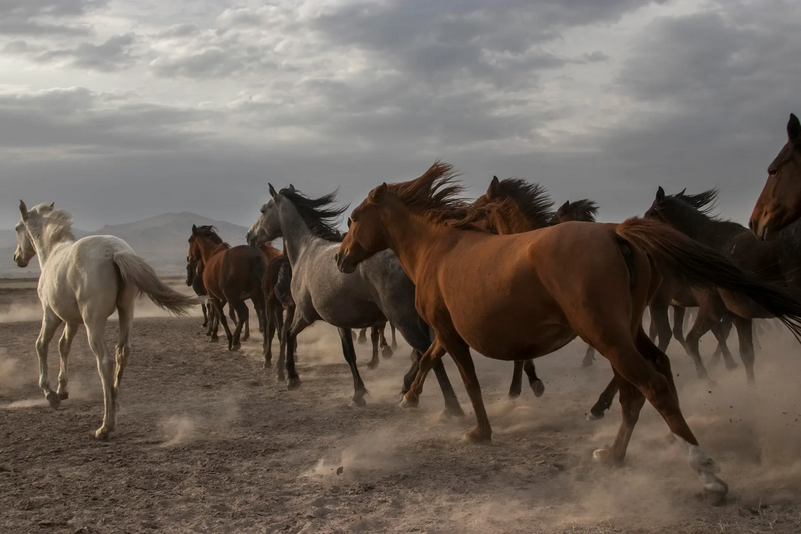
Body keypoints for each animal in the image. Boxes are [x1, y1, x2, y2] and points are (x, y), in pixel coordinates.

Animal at [13, 201, 197, 439]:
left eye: (17, 228)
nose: (17, 258)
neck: (53, 252)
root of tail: (115, 252)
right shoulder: (71, 320)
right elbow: (64, 346)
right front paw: (62, 390)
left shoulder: (51, 314)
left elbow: (41, 345)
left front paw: (50, 394)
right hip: (126, 311)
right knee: (123, 352)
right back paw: (114, 400)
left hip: (93, 322)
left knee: (105, 361)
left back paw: (106, 425)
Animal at [187, 225, 269, 357]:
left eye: (190, 240)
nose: (189, 257)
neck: (212, 254)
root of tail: (254, 257)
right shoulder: (224, 298)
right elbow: (218, 314)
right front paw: (213, 333)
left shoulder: (213, 296)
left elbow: (220, 315)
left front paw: (216, 336)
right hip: (258, 296)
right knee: (263, 316)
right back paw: (265, 347)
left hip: (234, 297)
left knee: (243, 313)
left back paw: (235, 341)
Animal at [246, 184, 463, 414]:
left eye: (263, 210)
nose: (249, 236)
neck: (306, 252)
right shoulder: (341, 322)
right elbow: (349, 353)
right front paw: (358, 394)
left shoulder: (304, 314)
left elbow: (288, 334)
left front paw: (292, 378)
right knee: (425, 353)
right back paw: (406, 387)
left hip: (403, 319)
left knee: (426, 353)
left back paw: (449, 407)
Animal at [336, 161, 801, 503]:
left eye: (354, 218)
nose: (340, 258)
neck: (437, 248)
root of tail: (617, 232)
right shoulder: (445, 331)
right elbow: (434, 358)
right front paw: (409, 397)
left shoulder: (449, 330)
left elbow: (467, 379)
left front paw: (478, 430)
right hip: (626, 331)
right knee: (644, 381)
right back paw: (612, 455)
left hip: (605, 334)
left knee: (650, 384)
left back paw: (706, 473)